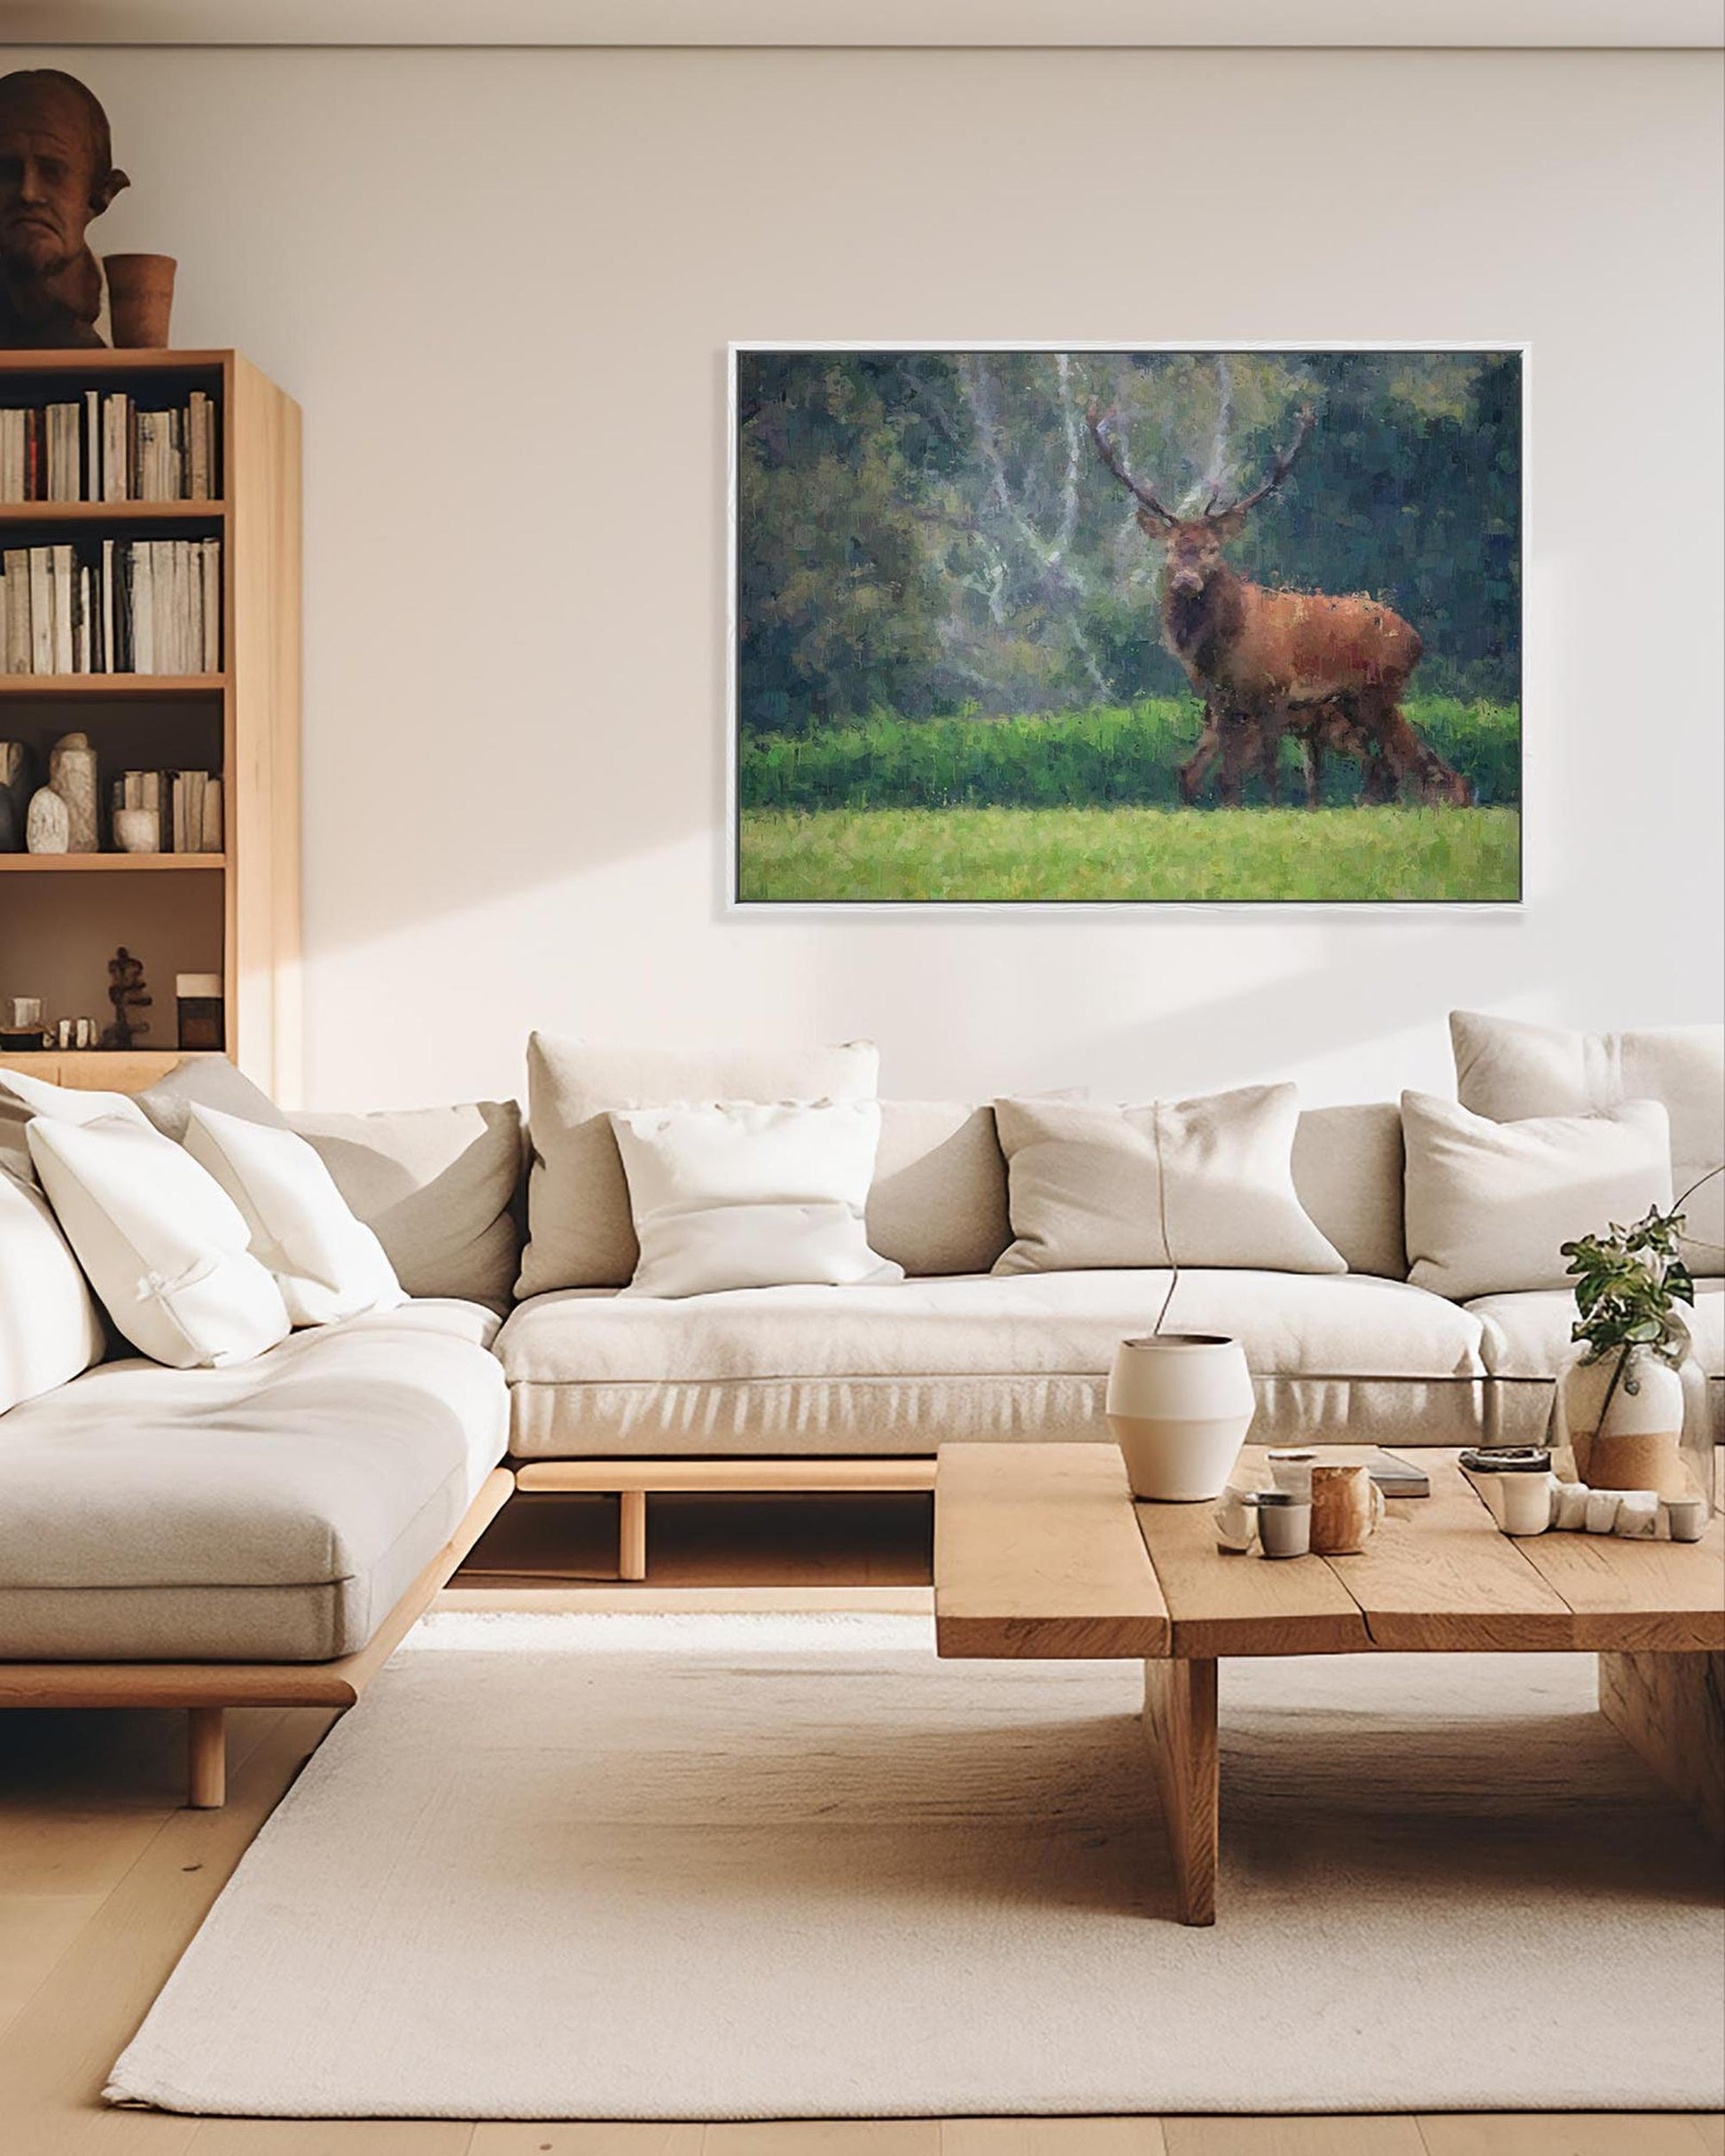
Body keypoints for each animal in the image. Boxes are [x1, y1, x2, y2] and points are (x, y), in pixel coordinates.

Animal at [1088, 401, 1472, 809]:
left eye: (1212, 549)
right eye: (1170, 549)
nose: (1185, 581)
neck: (1223, 648)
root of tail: (1418, 639)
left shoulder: (1276, 692)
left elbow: (1270, 770)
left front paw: (1271, 809)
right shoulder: (1222, 703)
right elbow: (1227, 775)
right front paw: (1232, 808)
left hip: (1377, 691)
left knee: (1402, 763)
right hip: (1355, 703)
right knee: (1396, 764)